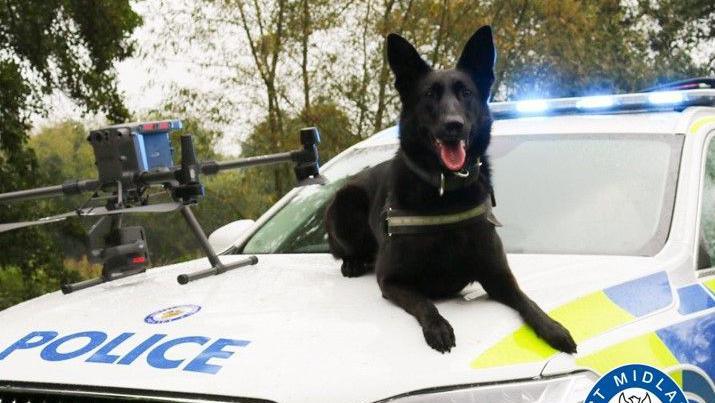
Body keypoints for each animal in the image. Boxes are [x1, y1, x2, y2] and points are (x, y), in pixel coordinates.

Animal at [324, 26, 576, 354]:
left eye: (466, 93)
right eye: (429, 95)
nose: (453, 125)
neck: (447, 192)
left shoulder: (498, 276)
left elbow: (526, 300)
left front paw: (552, 327)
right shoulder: (392, 280)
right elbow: (424, 302)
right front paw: (438, 327)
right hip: (346, 203)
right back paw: (352, 263)